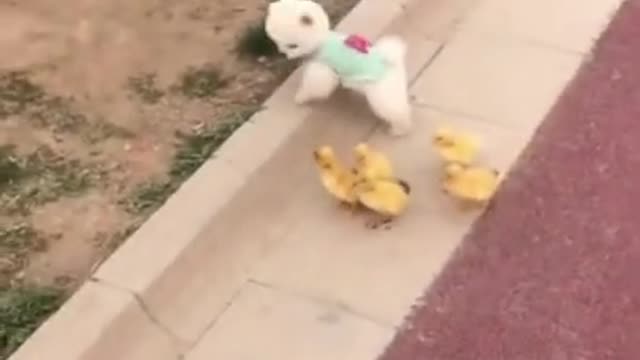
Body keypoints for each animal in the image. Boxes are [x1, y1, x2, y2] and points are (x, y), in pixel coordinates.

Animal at [264, 0, 410, 136]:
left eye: (292, 46)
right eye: (277, 42)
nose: (284, 54)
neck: (320, 41)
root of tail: (391, 61)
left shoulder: (321, 71)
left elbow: (314, 88)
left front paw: (300, 97)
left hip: (381, 94)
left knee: (397, 111)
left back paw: (399, 130)